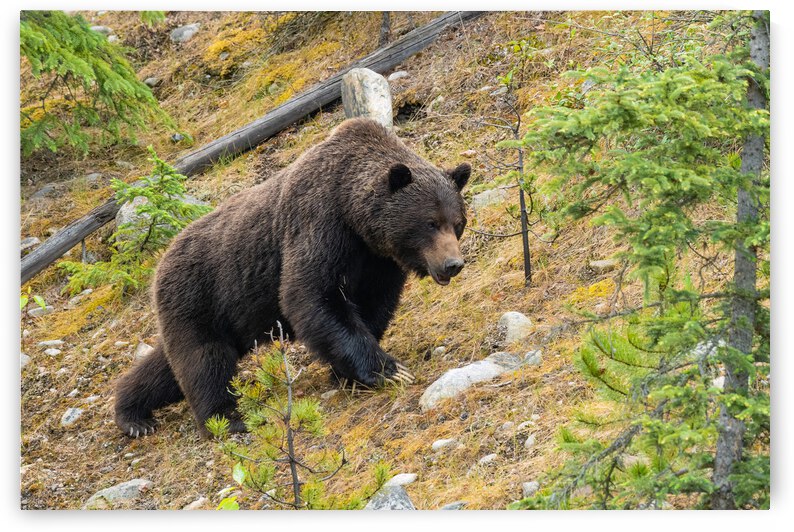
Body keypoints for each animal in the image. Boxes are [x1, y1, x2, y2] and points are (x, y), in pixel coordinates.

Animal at [113, 118, 471, 438]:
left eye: (457, 223)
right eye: (430, 222)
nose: (452, 264)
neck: (355, 218)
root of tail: (161, 260)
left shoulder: (378, 261)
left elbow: (372, 306)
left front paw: (347, 373)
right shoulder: (319, 225)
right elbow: (311, 296)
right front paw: (390, 371)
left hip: (220, 314)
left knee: (168, 367)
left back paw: (132, 413)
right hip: (198, 294)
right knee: (205, 361)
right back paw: (224, 421)